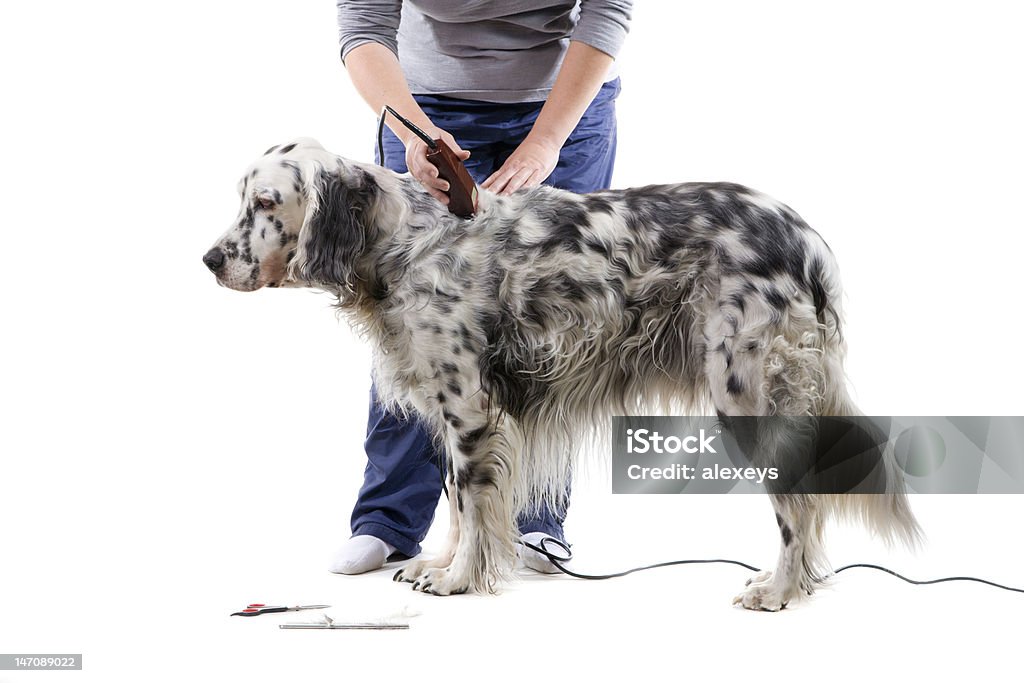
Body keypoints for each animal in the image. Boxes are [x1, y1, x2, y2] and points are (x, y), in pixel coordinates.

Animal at [199, 137, 921, 610]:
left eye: (266, 201)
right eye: (241, 198)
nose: (208, 259)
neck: (404, 242)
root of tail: (806, 238)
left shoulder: (468, 404)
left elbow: (470, 500)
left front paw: (456, 579)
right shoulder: (459, 410)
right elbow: (462, 504)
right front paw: (443, 563)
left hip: (745, 395)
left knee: (797, 504)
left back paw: (777, 589)